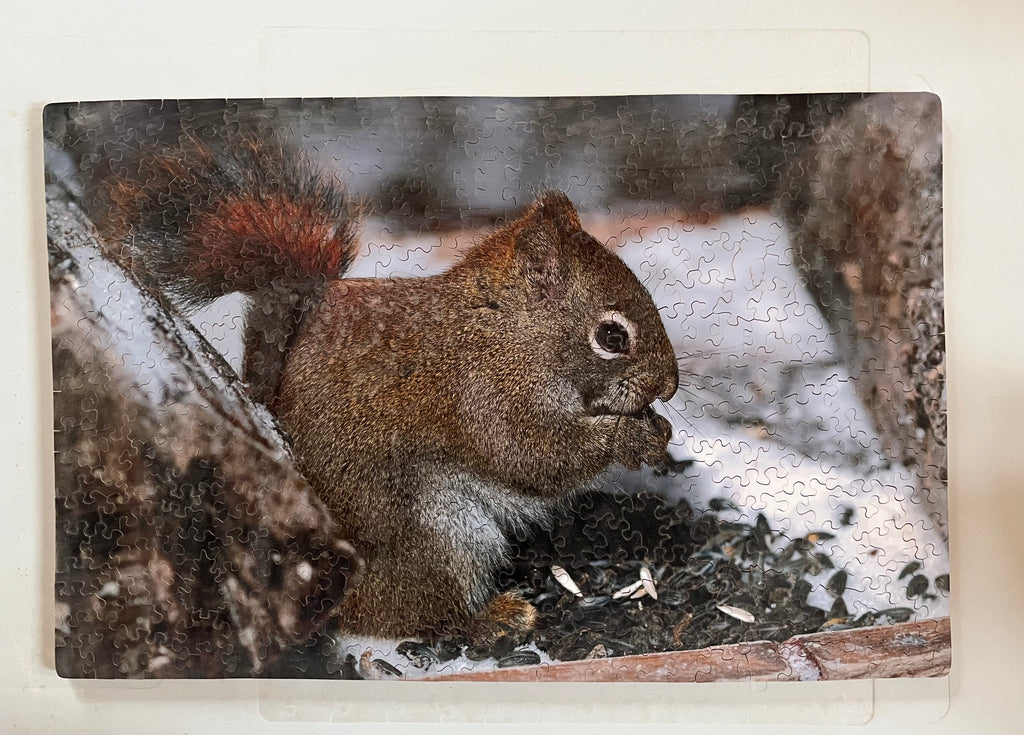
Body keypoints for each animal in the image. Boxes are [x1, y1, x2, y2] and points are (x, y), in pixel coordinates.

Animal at [98, 137, 679, 643]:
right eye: (611, 336)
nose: (670, 386)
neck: (506, 331)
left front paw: (660, 430)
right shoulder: (483, 393)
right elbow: (532, 456)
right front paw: (629, 438)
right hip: (436, 535)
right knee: (404, 615)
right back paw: (490, 619)